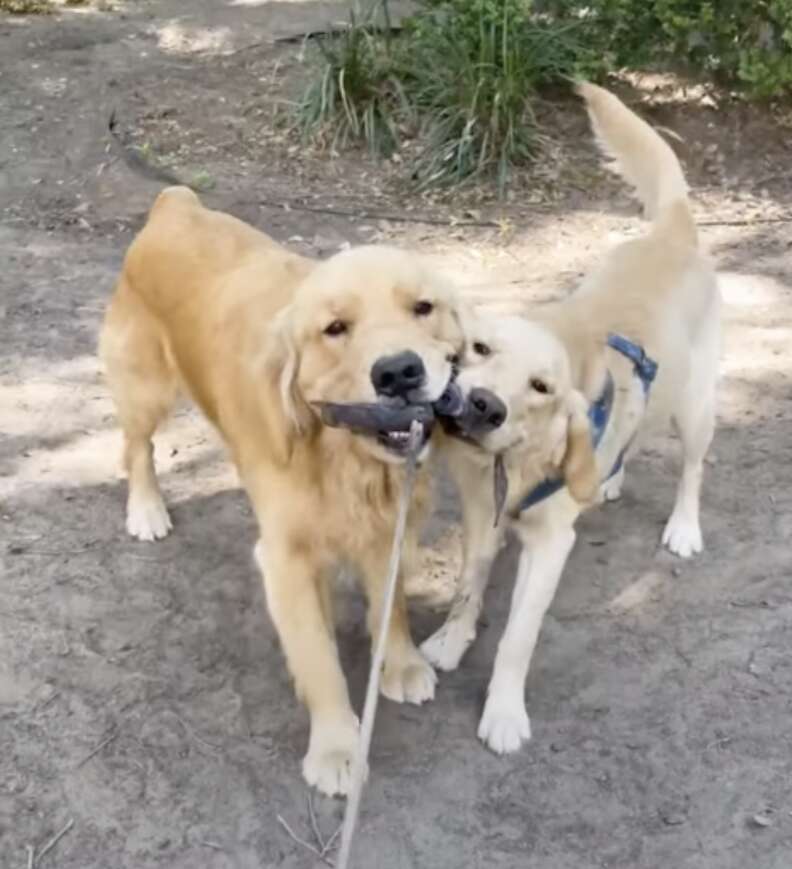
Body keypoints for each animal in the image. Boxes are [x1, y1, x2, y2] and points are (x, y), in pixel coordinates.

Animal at [102, 188, 468, 792]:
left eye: (423, 308)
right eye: (335, 328)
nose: (398, 372)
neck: (346, 459)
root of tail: (174, 203)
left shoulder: (389, 529)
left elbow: (389, 606)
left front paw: (400, 662)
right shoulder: (286, 560)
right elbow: (318, 659)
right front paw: (337, 748)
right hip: (144, 388)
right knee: (136, 448)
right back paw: (146, 510)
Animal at [424, 85, 720, 756]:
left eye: (542, 388)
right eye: (480, 349)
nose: (484, 405)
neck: (512, 465)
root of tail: (673, 232)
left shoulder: (550, 544)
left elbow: (518, 638)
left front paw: (504, 712)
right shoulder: (480, 513)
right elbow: (468, 585)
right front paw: (453, 638)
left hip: (695, 407)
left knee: (692, 470)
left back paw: (684, 526)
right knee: (628, 437)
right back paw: (609, 480)